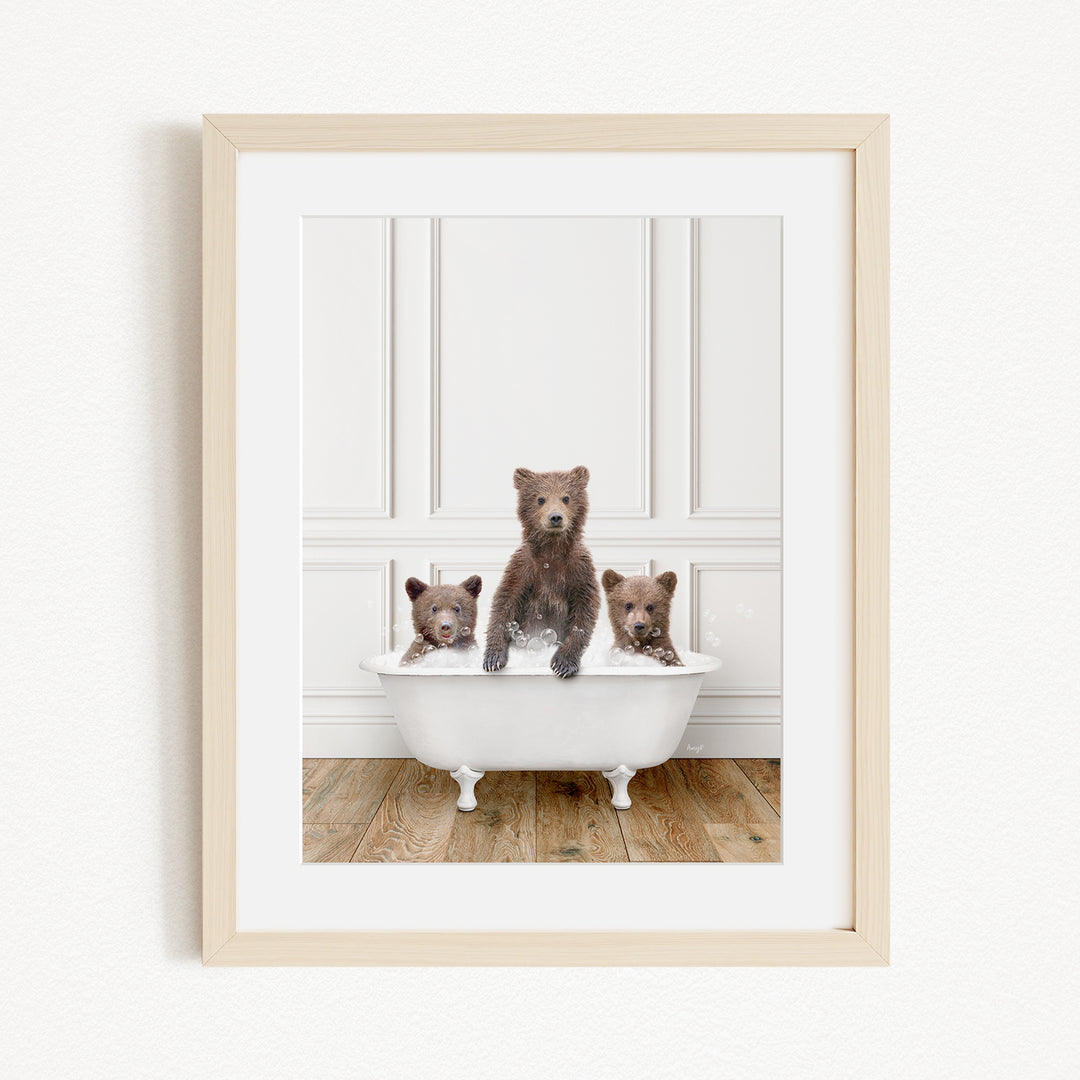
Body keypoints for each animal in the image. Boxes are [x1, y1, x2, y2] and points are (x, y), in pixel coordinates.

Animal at [483, 466, 599, 678]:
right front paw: (493, 658)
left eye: (566, 497)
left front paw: (562, 664)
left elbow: (584, 611)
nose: (555, 517)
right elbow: (505, 602)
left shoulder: (579, 569)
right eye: (540, 499)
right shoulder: (523, 567)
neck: (552, 551)